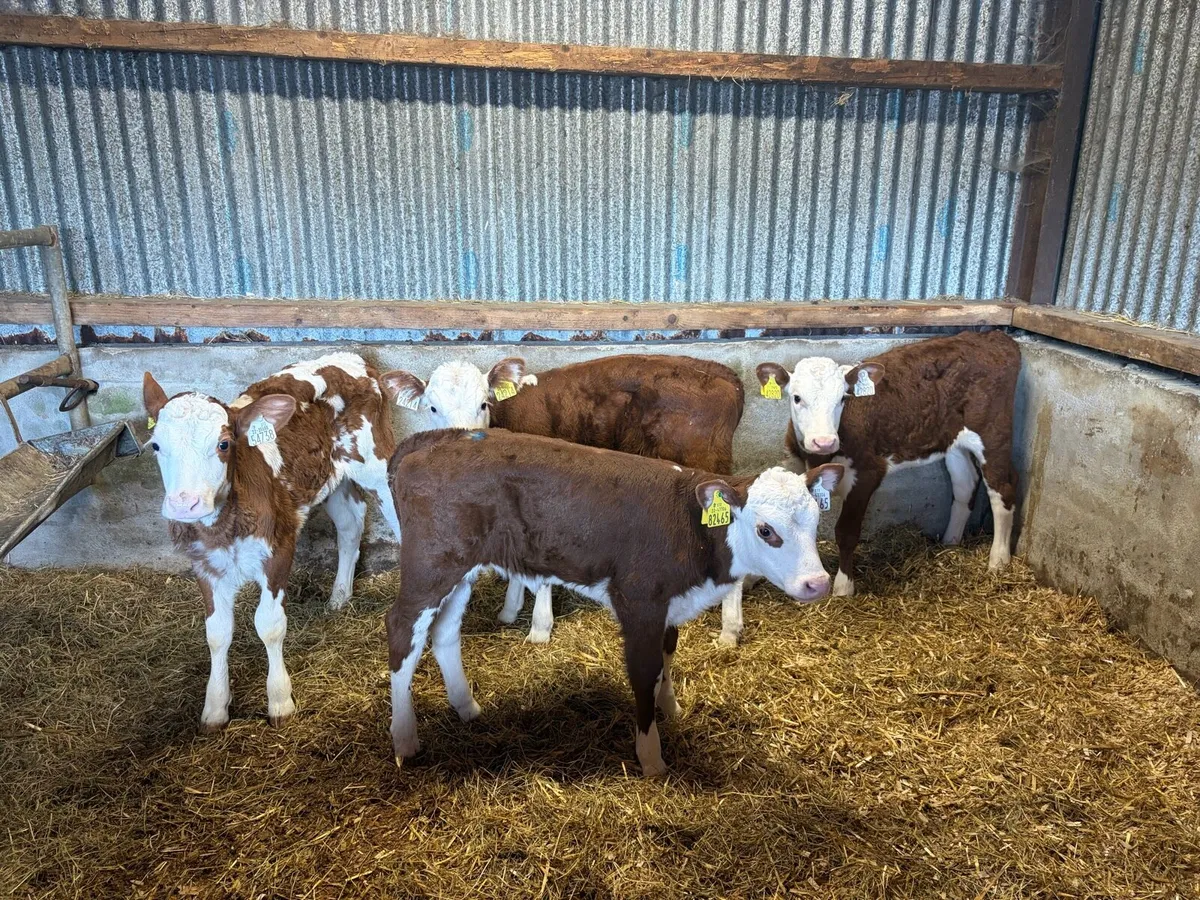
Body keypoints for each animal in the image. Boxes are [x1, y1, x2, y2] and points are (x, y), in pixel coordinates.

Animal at [142, 352, 402, 732]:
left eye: (224, 444)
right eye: (157, 445)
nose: (184, 504)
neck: (226, 526)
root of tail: (351, 357)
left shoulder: (279, 547)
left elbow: (269, 625)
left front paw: (280, 701)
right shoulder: (204, 564)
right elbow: (217, 633)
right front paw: (215, 708)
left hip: (377, 464)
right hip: (332, 478)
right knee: (351, 524)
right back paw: (340, 596)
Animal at [380, 354, 747, 645]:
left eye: (483, 403)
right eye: (432, 407)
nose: (460, 445)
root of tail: (722, 374)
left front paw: (539, 627)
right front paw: (510, 609)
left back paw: (729, 630)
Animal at [385, 428, 843, 776]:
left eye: (816, 519)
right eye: (766, 530)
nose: (817, 583)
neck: (688, 524)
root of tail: (441, 437)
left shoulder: (669, 603)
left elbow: (668, 655)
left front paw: (670, 706)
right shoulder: (639, 601)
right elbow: (644, 672)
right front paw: (651, 757)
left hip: (459, 567)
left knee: (444, 632)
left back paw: (467, 707)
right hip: (429, 564)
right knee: (402, 630)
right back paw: (405, 739)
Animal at [753, 330, 1020, 610]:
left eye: (842, 399)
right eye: (796, 398)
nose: (823, 441)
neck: (818, 457)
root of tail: (993, 336)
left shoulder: (867, 473)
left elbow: (846, 532)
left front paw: (843, 588)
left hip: (993, 432)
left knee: (1002, 488)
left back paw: (998, 560)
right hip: (953, 441)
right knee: (965, 485)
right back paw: (950, 541)